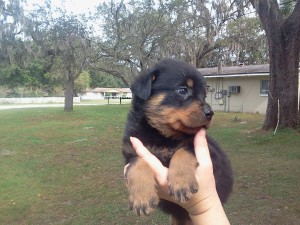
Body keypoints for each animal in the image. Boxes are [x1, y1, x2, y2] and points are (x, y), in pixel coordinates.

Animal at [121, 59, 232, 224]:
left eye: (204, 95)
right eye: (183, 90)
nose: (210, 113)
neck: (163, 135)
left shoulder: (210, 152)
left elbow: (184, 150)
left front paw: (182, 183)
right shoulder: (131, 149)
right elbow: (137, 162)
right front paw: (142, 198)